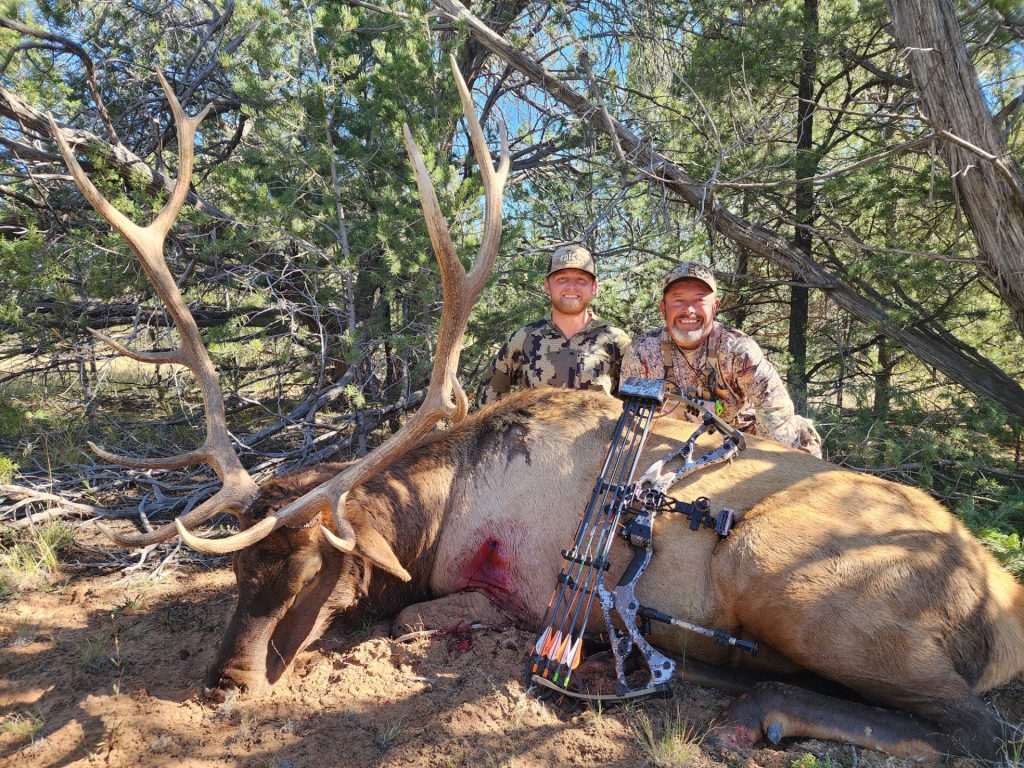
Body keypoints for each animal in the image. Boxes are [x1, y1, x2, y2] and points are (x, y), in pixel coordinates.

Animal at [54, 63, 1024, 761]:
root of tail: (1003, 599)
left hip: (780, 572)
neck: (438, 506)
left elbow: (413, 619)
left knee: (973, 728)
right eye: (236, 575)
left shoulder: (501, 590)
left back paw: (742, 710)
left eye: (311, 570)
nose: (223, 683)